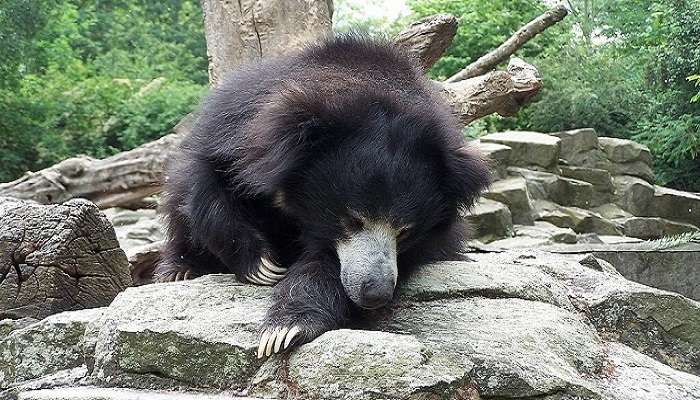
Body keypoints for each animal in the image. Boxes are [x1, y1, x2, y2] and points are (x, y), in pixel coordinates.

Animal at [155, 34, 490, 358]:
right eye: (352, 220)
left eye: (405, 232)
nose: (375, 292)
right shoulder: (236, 124)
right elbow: (205, 181)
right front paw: (262, 266)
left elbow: (328, 265)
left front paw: (285, 328)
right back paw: (179, 270)